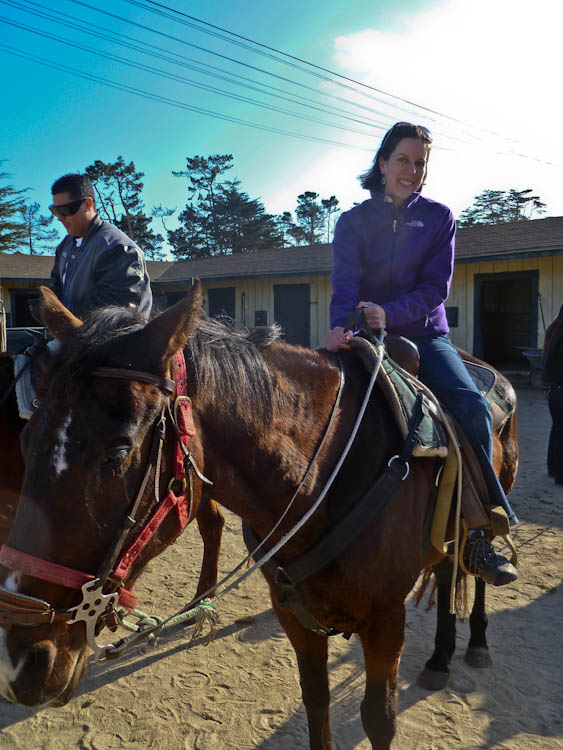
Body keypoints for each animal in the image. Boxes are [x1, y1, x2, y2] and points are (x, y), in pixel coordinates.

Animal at [0, 284, 516, 748]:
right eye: (25, 440)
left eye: (117, 453)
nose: (21, 662)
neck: (328, 474)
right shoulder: (294, 614)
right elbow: (316, 703)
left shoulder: (386, 619)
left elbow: (379, 720)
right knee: (447, 572)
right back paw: (440, 658)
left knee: (477, 570)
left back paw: (475, 643)